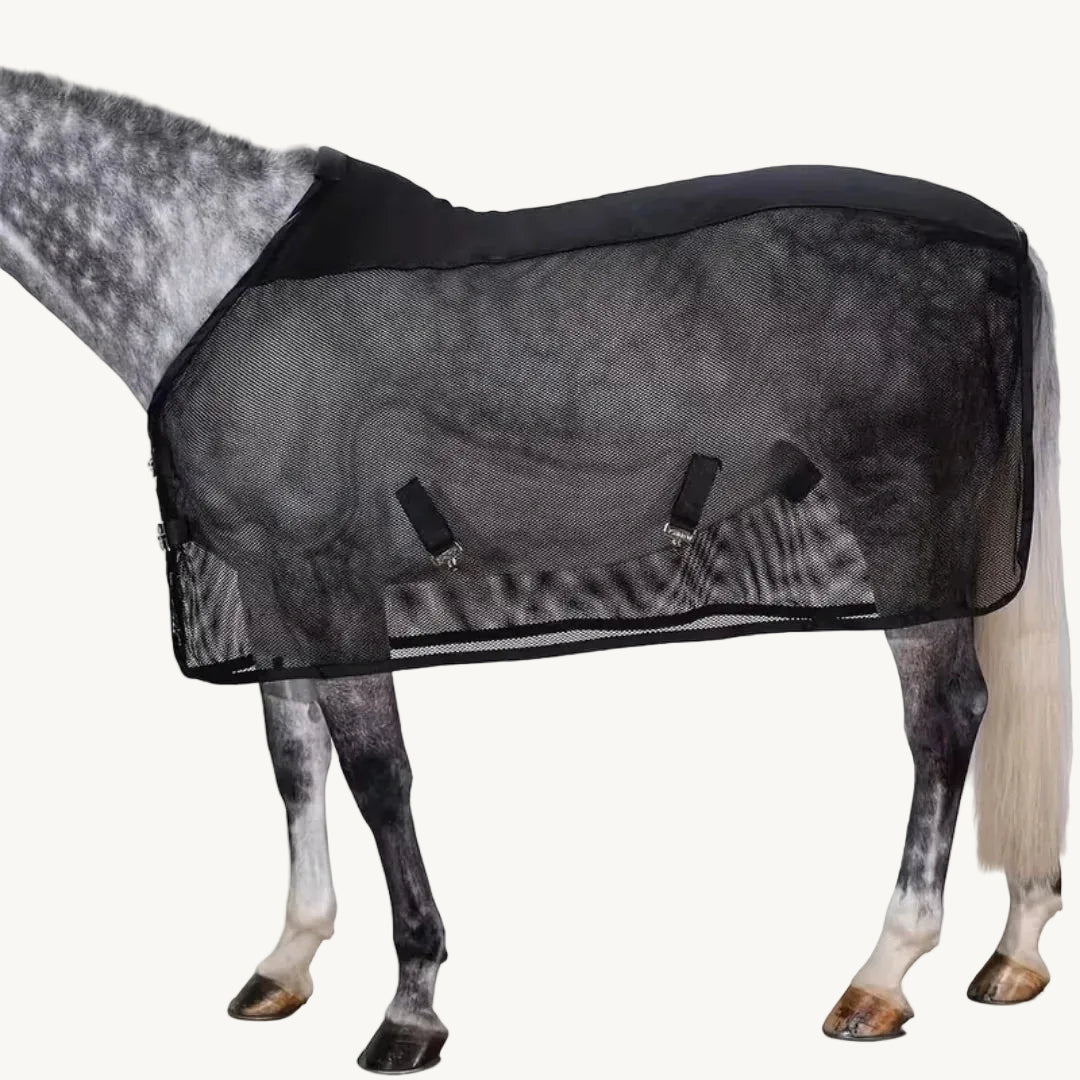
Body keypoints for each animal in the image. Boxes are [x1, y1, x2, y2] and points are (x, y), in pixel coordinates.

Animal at [0, 68, 1070, 1072]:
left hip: (906, 515)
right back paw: (1013, 951)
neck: (209, 266)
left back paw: (884, 973)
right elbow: (294, 762)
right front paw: (287, 961)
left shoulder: (329, 575)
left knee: (945, 717)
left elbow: (378, 774)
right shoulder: (269, 585)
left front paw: (410, 1007)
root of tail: (1004, 241)